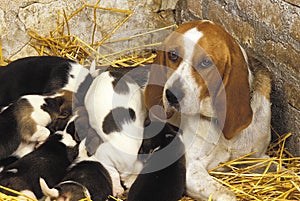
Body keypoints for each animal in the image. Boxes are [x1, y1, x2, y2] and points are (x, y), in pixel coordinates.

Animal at [144, 19, 274, 200]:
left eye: (206, 63)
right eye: (173, 55)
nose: (171, 95)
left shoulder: (259, 157)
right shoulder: (191, 169)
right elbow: (227, 194)